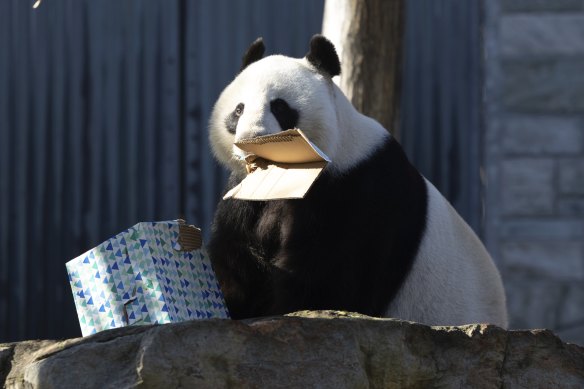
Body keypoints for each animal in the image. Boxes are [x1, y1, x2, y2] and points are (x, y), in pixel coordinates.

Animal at [208, 35, 508, 328]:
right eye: (238, 110)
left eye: (280, 107)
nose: (250, 140)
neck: (286, 176)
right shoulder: (243, 194)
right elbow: (234, 260)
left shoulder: (357, 191)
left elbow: (327, 279)